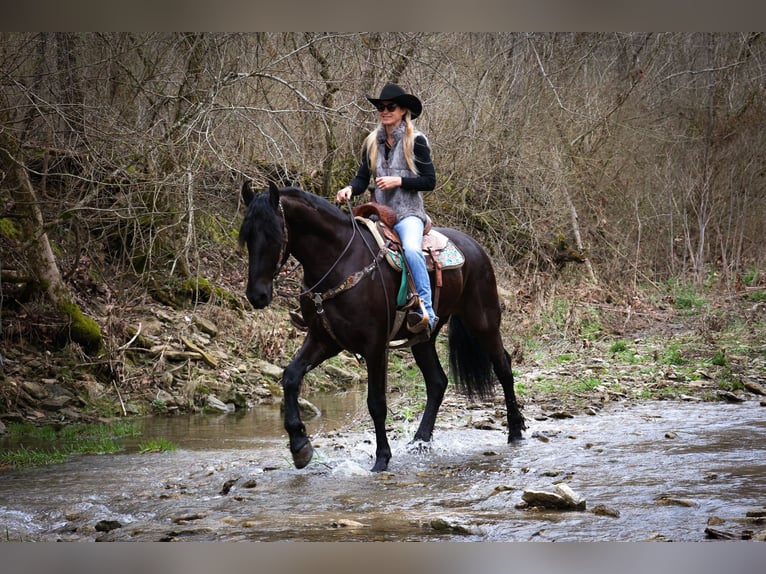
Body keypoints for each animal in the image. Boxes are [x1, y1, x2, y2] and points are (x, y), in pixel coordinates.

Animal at [240, 183, 528, 472]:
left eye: (273, 234)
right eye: (247, 237)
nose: (257, 295)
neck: (339, 261)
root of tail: (474, 247)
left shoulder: (375, 345)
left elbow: (376, 402)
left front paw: (381, 458)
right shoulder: (324, 340)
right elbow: (290, 377)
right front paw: (300, 446)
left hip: (483, 321)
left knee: (503, 366)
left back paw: (515, 431)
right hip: (423, 338)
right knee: (437, 381)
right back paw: (420, 441)